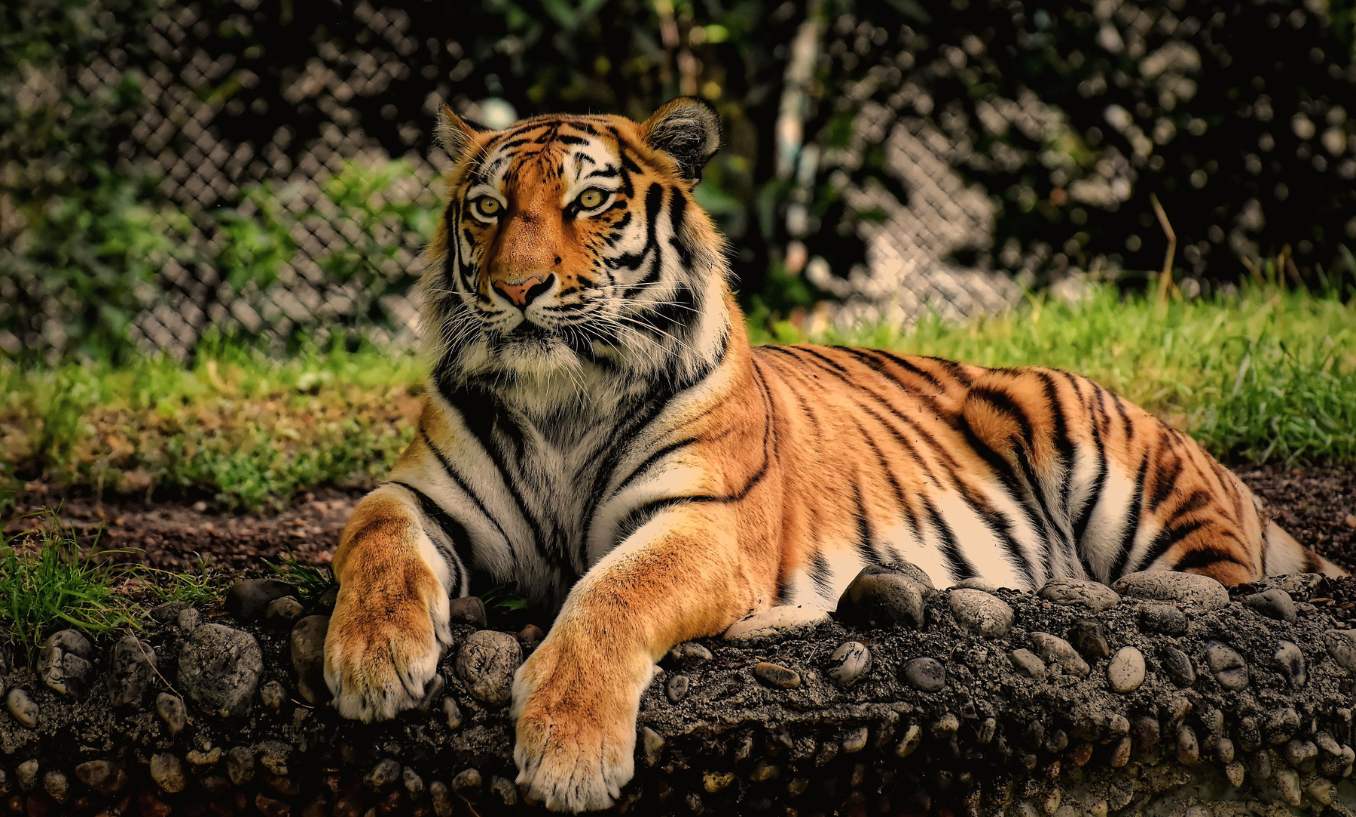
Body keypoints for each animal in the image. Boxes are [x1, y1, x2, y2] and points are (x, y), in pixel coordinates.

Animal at [321, 96, 1344, 812]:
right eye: (489, 209)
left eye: (590, 202)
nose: (518, 288)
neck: (562, 396)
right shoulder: (424, 492)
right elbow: (371, 532)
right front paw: (373, 662)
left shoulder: (702, 521)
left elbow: (610, 594)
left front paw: (568, 751)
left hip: (1129, 480)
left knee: (1220, 588)